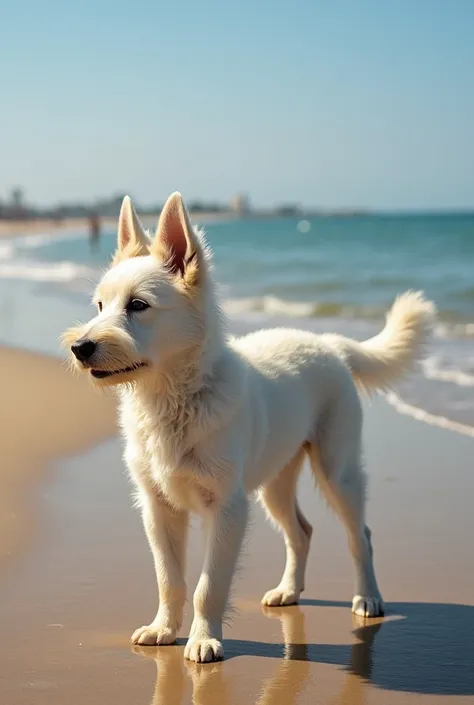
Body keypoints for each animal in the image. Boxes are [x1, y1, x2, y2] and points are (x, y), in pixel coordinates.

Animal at [65, 191, 436, 660]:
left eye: (138, 306)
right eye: (99, 306)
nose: (80, 347)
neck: (175, 401)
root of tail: (329, 344)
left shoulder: (227, 508)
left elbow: (208, 585)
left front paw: (204, 639)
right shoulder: (158, 507)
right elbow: (170, 580)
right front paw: (163, 629)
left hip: (338, 471)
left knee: (361, 536)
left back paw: (367, 597)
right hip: (274, 483)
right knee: (301, 532)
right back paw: (289, 591)